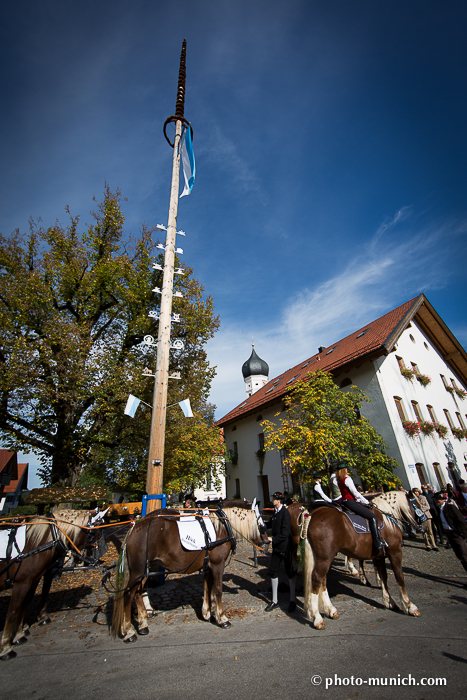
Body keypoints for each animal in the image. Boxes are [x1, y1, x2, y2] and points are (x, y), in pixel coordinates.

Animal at [0, 512, 98, 660]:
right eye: (91, 534)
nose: (92, 558)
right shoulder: (23, 582)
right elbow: (13, 611)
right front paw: (7, 647)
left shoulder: (34, 578)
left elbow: (27, 603)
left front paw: (21, 632)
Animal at [111, 500, 268, 644]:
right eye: (260, 522)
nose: (267, 542)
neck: (222, 526)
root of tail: (134, 528)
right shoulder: (218, 564)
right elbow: (217, 589)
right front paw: (222, 618)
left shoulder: (208, 566)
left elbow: (207, 588)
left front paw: (207, 613)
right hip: (138, 571)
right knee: (128, 594)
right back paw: (129, 632)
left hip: (145, 571)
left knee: (138, 592)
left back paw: (143, 625)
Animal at [292, 494, 420, 632]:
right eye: (415, 504)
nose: (420, 524)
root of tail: (311, 515)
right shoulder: (395, 551)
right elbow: (400, 577)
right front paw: (409, 606)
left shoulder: (380, 556)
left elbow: (384, 577)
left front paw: (389, 601)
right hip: (325, 557)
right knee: (316, 578)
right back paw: (317, 617)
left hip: (321, 556)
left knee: (322, 579)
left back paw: (330, 610)